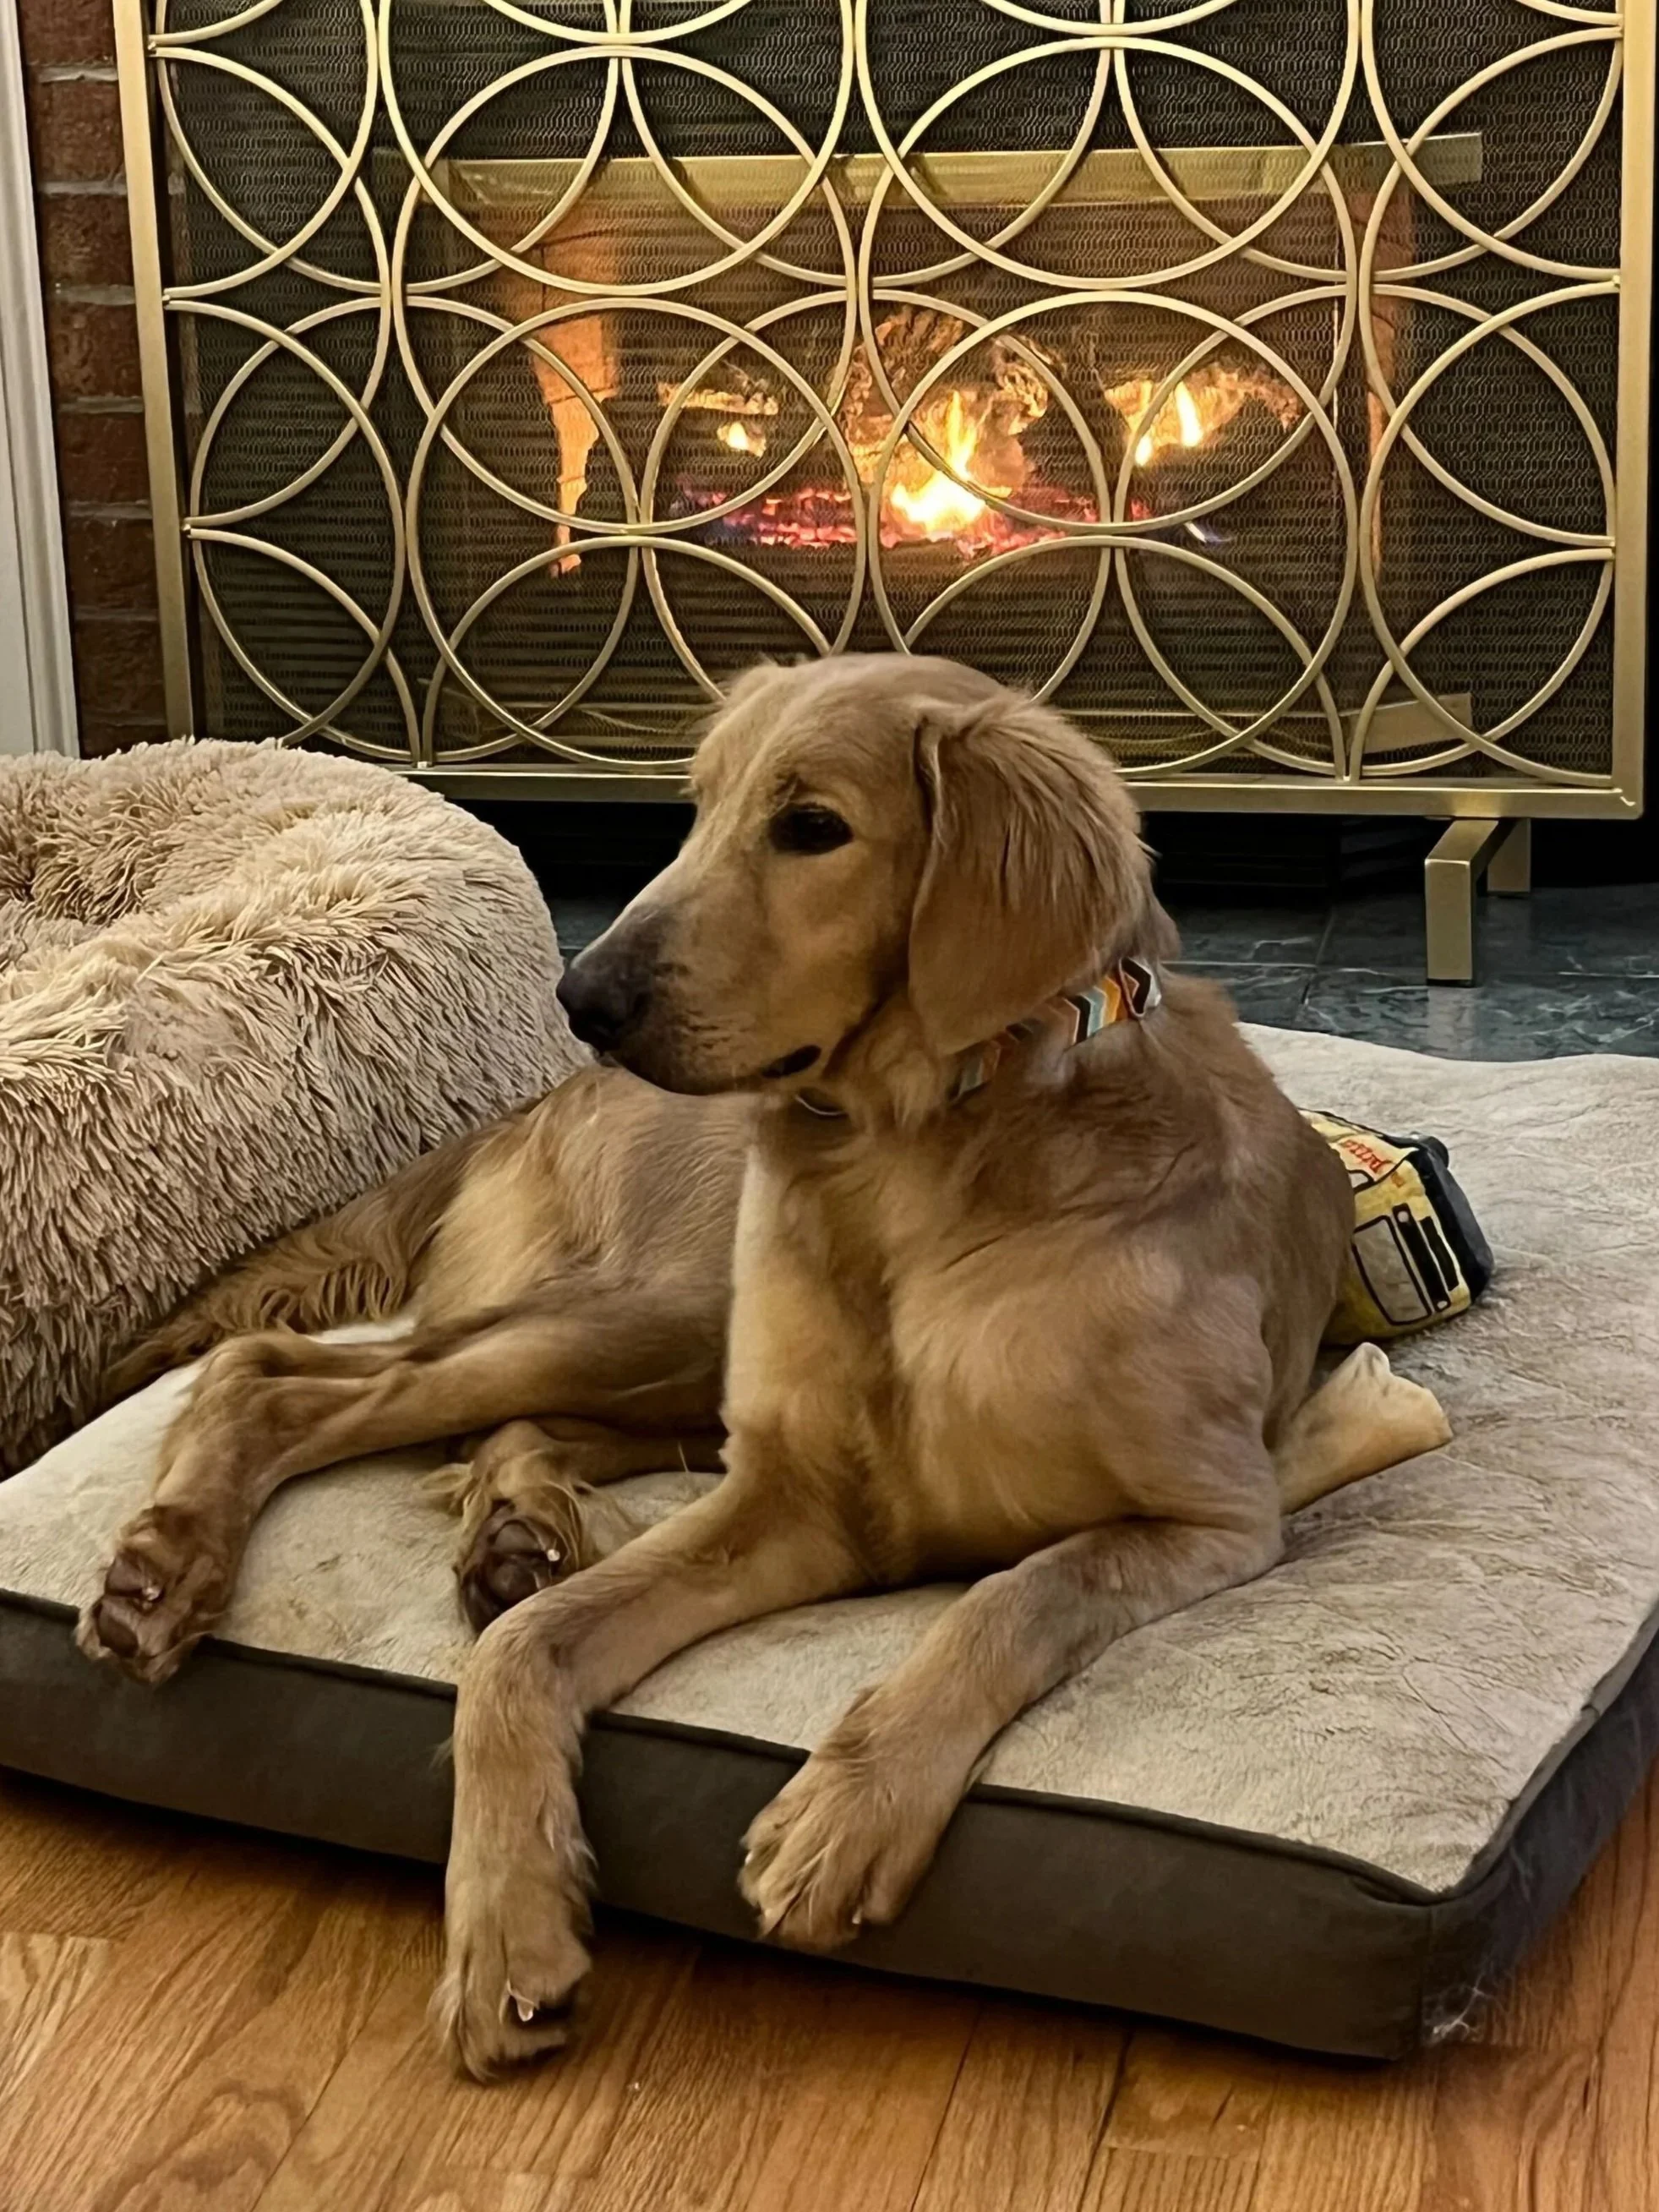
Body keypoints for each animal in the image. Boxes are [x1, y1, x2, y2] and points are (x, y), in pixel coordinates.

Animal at [80, 654, 1449, 2077]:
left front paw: (849, 1807)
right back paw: (172, 1561)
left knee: (432, 1410)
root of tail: (526, 1098)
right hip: (659, 1310)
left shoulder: (1207, 1515)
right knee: (287, 1370)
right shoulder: (796, 1505)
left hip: (661, 1348)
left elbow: (1010, 1594)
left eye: (810, 827)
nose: (582, 999)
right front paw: (504, 1926)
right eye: (695, 809)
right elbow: (518, 1656)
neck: (917, 1162)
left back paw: (504, 1528)